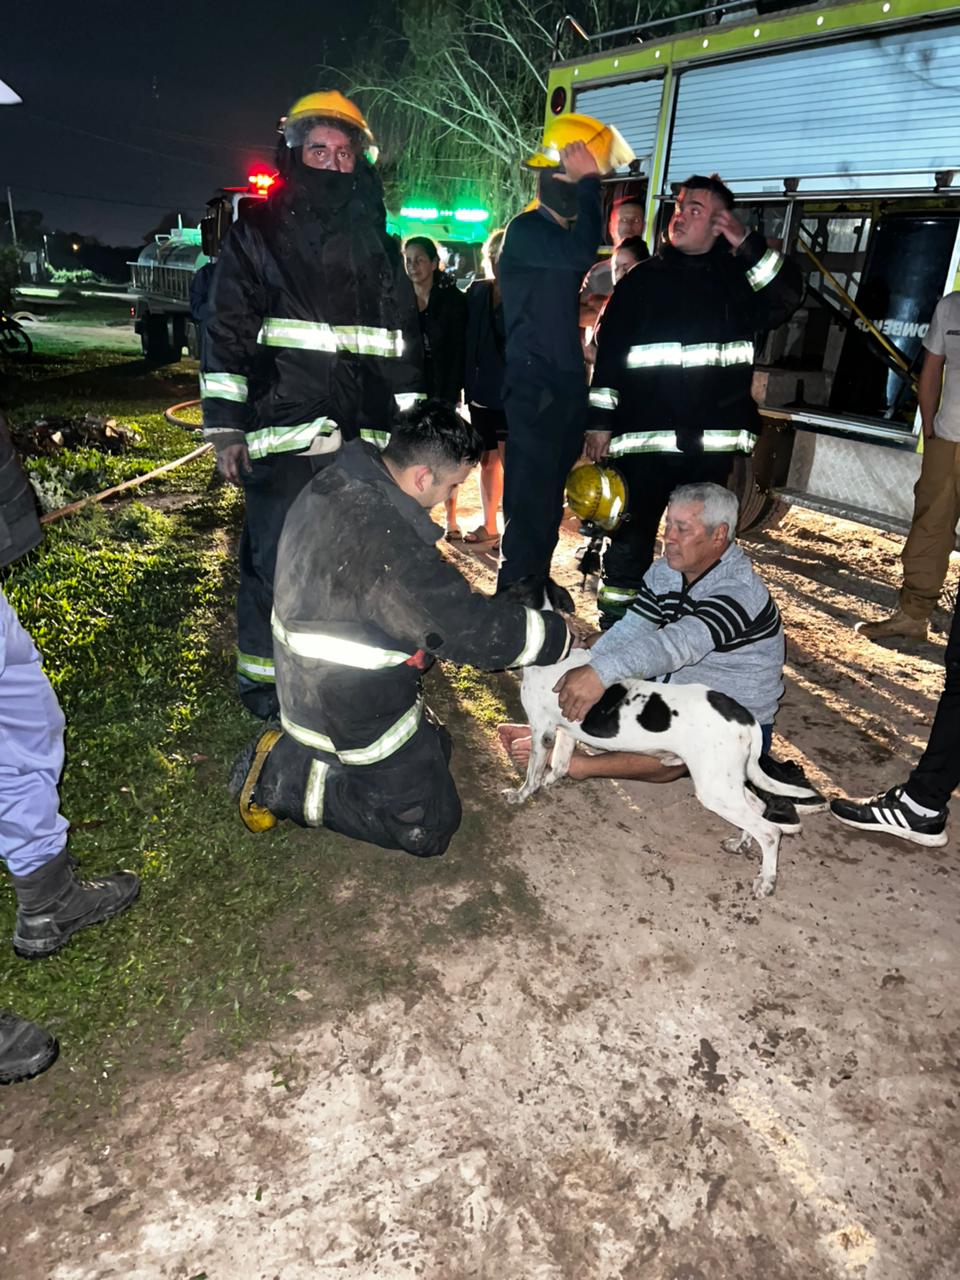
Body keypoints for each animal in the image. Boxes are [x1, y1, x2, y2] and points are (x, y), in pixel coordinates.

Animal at [505, 649, 811, 898]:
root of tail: (747, 720)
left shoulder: (542, 731)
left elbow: (532, 773)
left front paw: (521, 795)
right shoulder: (565, 731)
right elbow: (559, 765)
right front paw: (549, 782)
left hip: (714, 790)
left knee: (770, 832)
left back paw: (766, 880)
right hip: (724, 781)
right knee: (757, 806)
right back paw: (741, 842)